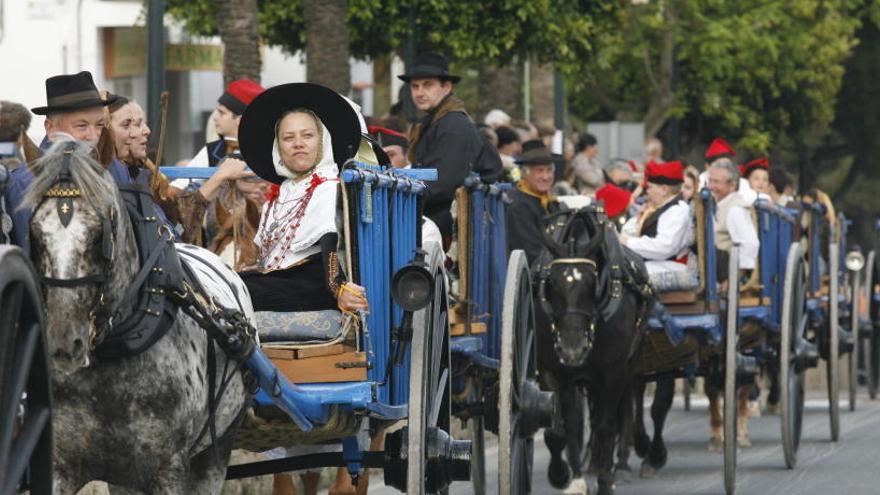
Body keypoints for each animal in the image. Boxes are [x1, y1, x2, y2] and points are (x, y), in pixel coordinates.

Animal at [532, 208, 648, 495]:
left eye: (592, 282)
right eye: (551, 283)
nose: (573, 348)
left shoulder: (613, 371)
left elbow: (606, 426)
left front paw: (605, 480)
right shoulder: (552, 371)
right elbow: (562, 428)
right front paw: (566, 476)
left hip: (626, 368)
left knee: (621, 412)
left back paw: (617, 467)